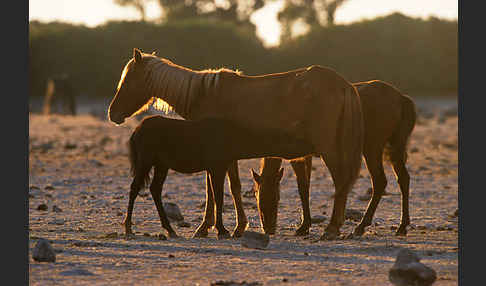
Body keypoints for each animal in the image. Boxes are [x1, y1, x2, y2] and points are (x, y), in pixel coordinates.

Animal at [125, 115, 316, 238]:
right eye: (290, 139)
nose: (310, 148)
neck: (237, 139)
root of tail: (135, 132)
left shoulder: (216, 166)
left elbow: (216, 196)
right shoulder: (217, 166)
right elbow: (219, 197)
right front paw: (222, 230)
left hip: (161, 164)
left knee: (154, 189)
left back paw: (170, 230)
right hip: (145, 159)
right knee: (135, 188)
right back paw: (128, 227)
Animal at [252, 79, 416, 237]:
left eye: (276, 198)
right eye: (258, 196)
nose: (269, 229)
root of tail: (401, 98)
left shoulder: (297, 158)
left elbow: (302, 187)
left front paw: (303, 227)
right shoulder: (306, 157)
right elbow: (306, 187)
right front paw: (305, 225)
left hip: (372, 148)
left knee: (380, 181)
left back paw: (361, 226)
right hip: (395, 147)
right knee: (403, 178)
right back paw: (402, 226)